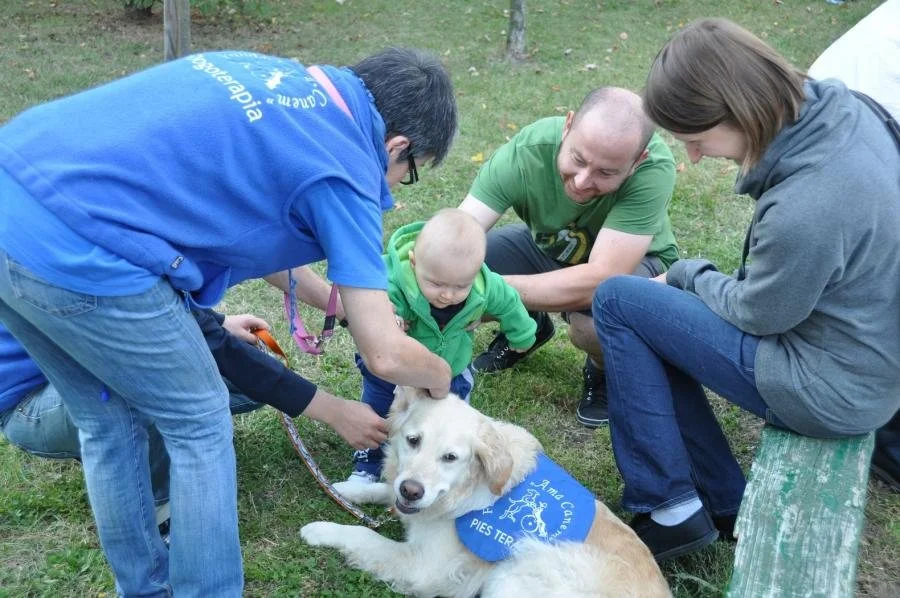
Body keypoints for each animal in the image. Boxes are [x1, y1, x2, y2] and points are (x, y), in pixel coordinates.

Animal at [298, 390, 672, 598]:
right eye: (413, 440)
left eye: (450, 457)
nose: (413, 491)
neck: (466, 491)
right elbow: (383, 489)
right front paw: (348, 488)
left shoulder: (424, 565)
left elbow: (364, 535)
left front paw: (320, 529)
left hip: (519, 565)